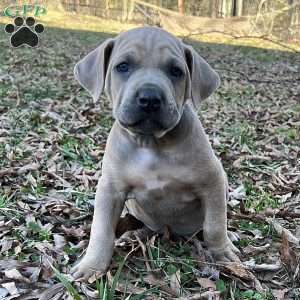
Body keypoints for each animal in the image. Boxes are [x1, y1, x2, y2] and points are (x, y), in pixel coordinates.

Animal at [70, 27, 239, 280]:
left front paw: (222, 252)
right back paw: (134, 234)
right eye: (123, 66)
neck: (151, 144)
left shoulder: (214, 182)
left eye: (176, 71)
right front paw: (91, 265)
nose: (149, 98)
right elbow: (101, 230)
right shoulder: (110, 189)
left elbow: (215, 225)